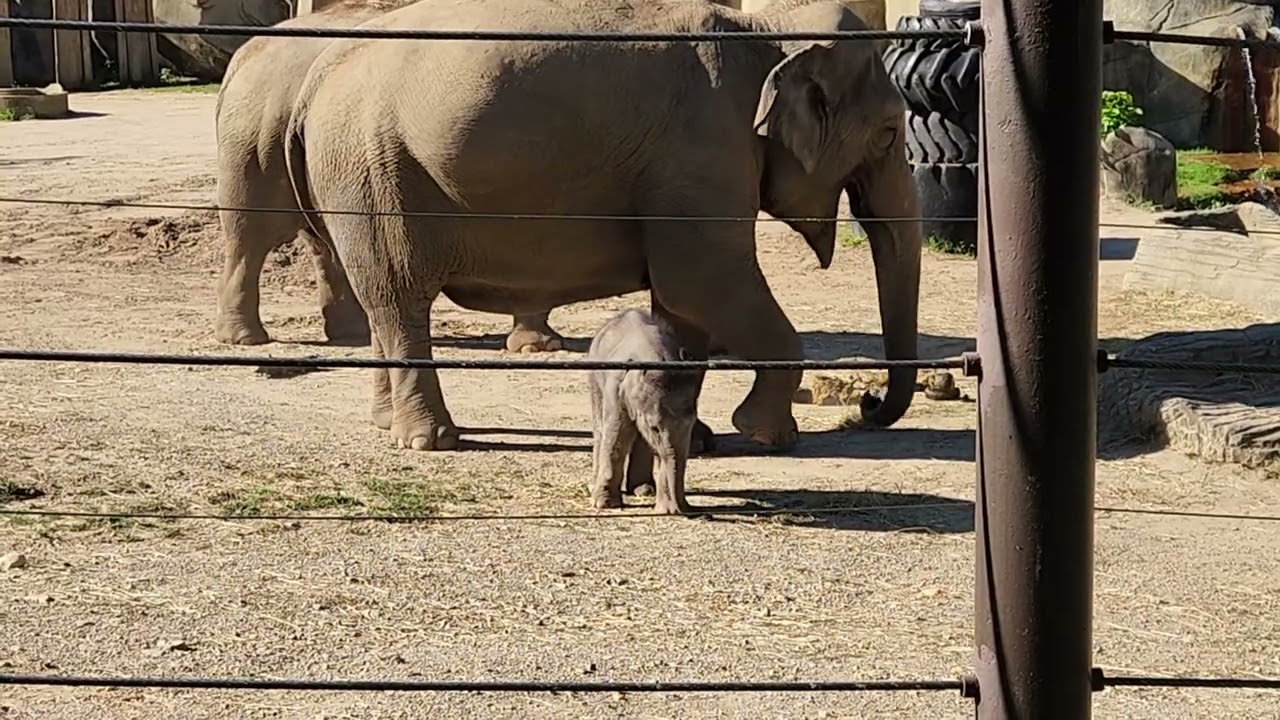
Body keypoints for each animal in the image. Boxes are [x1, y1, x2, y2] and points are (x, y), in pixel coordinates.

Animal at [212, 0, 566, 353]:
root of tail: (246, 54)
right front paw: (539, 347)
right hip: (257, 143)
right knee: (252, 234)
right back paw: (245, 338)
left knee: (322, 242)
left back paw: (351, 335)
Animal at [285, 0, 923, 453]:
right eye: (889, 134)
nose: (866, 404)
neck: (764, 27)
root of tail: (314, 80)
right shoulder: (705, 150)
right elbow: (705, 281)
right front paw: (768, 435)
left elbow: (681, 301)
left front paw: (700, 438)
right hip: (375, 173)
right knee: (401, 298)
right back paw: (432, 440)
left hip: (358, 178)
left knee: (380, 302)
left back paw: (385, 423)